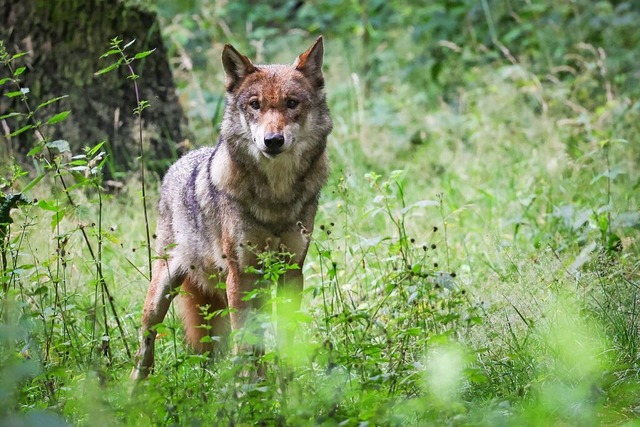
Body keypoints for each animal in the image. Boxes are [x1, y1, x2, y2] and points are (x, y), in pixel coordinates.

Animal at [129, 38, 330, 382]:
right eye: (255, 105)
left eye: (291, 103)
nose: (272, 141)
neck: (275, 197)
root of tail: (179, 162)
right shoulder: (240, 274)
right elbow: (246, 342)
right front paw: (252, 389)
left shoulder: (291, 271)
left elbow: (285, 338)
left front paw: (288, 386)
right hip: (162, 292)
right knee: (146, 346)